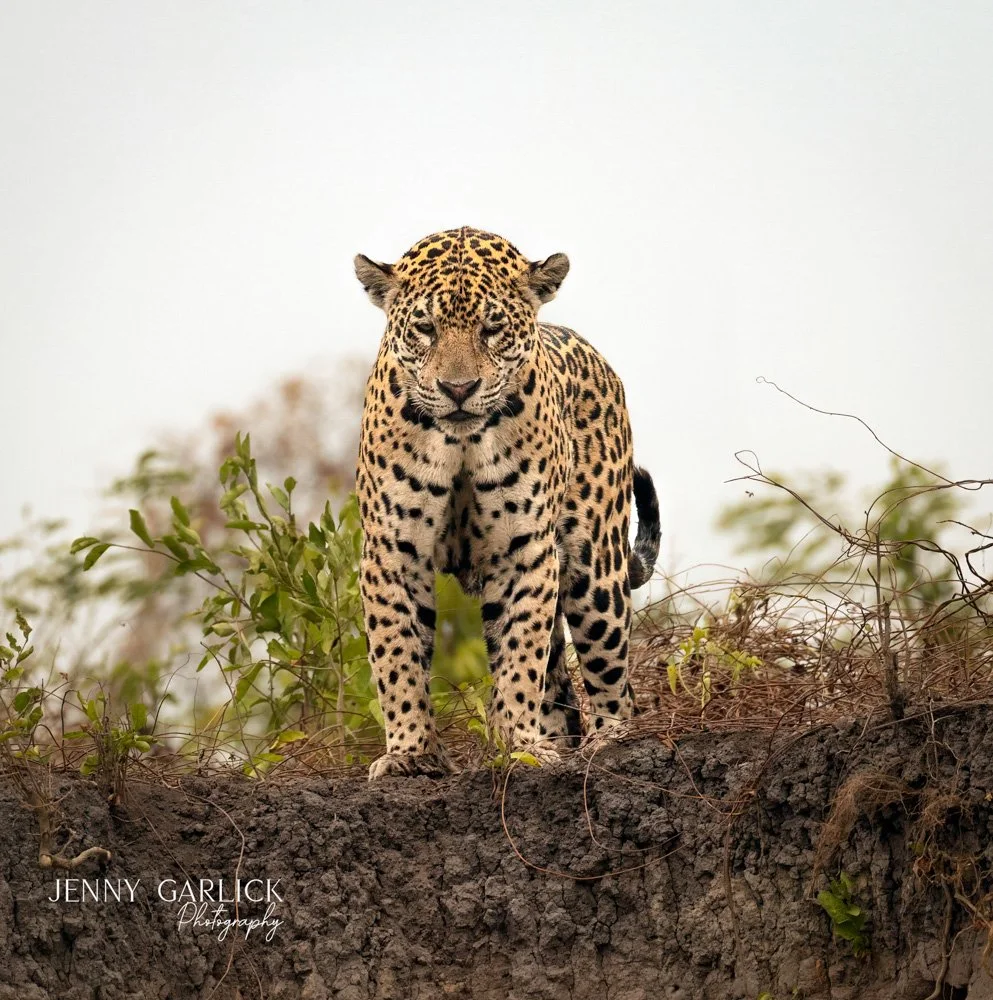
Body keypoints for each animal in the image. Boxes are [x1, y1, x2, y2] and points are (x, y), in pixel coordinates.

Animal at [353, 227, 660, 780]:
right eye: (425, 328)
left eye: (492, 328)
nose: (457, 388)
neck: (461, 441)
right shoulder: (392, 551)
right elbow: (398, 656)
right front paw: (410, 754)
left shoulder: (524, 551)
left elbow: (519, 657)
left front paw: (518, 744)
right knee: (561, 687)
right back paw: (563, 741)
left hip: (596, 575)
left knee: (612, 683)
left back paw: (609, 744)